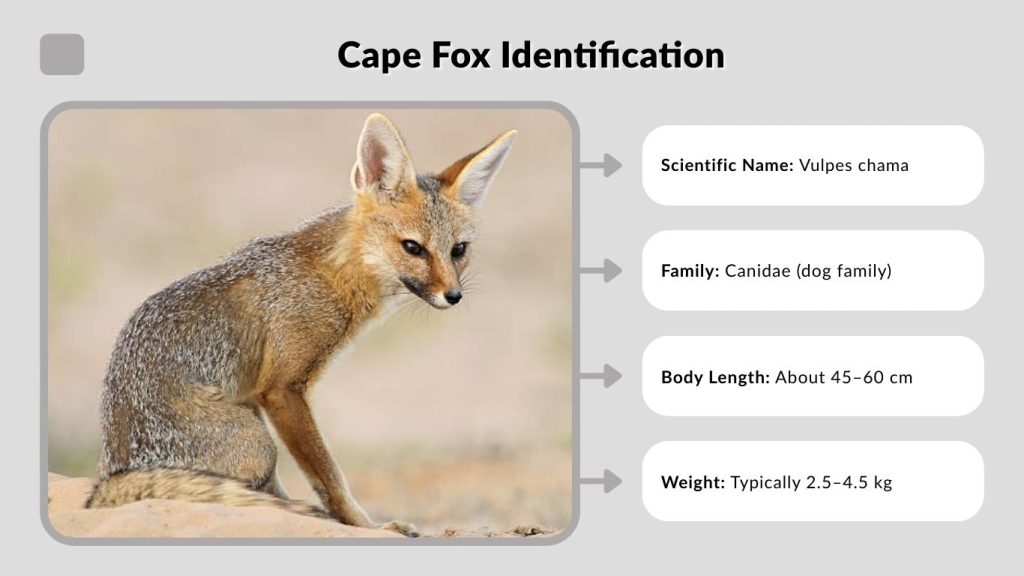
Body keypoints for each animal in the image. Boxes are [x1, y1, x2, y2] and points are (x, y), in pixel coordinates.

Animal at [85, 113, 517, 537]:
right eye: (413, 247)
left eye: (458, 250)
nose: (453, 295)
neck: (333, 272)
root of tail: (113, 471)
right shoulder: (282, 391)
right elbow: (329, 477)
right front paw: (367, 526)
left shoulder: (265, 394)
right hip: (258, 443)